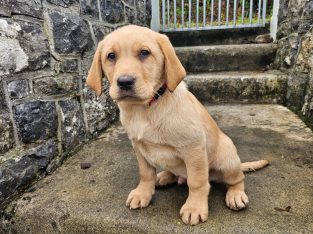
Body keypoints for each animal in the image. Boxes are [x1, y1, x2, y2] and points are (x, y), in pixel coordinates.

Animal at [86, 25, 266, 225]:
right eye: (111, 56)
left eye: (144, 53)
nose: (124, 82)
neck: (145, 109)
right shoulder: (138, 146)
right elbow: (145, 173)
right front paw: (143, 193)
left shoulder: (193, 147)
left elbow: (197, 182)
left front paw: (194, 207)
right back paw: (164, 176)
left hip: (227, 159)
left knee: (236, 179)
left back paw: (235, 194)